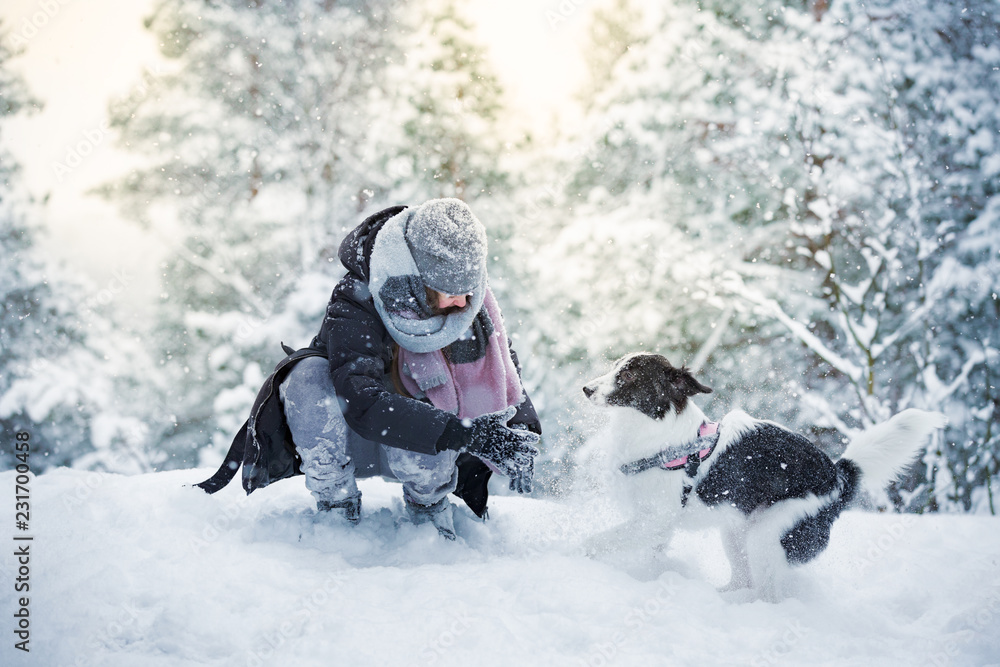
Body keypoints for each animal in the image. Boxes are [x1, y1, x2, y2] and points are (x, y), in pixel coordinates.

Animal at [580, 352, 944, 596]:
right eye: (614, 366)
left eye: (628, 375)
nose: (585, 389)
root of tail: (838, 475)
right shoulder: (655, 527)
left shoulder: (654, 520)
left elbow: (593, 542)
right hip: (735, 532)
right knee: (744, 580)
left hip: (768, 537)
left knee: (767, 594)